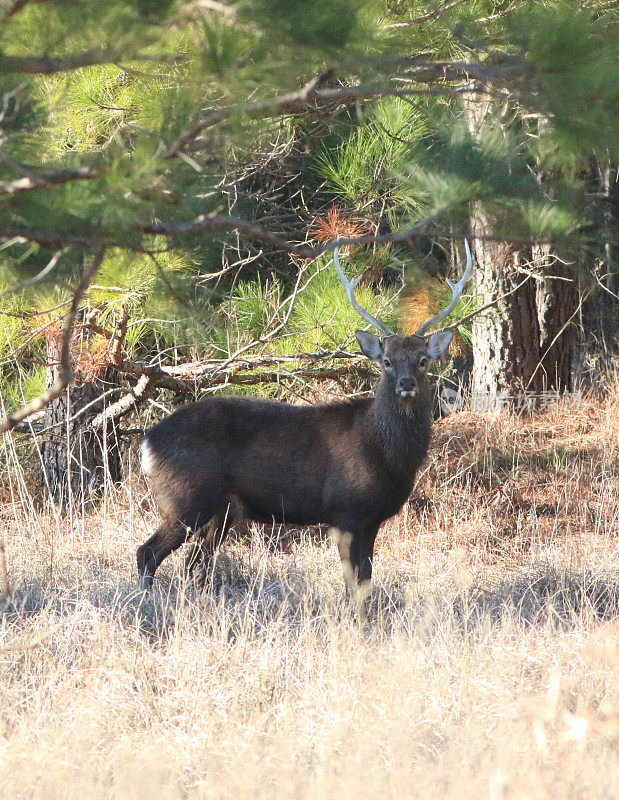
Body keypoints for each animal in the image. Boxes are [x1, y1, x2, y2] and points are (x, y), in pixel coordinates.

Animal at [137, 238, 474, 608]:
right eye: (386, 360)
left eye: (423, 359)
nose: (406, 383)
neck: (386, 455)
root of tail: (147, 443)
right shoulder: (344, 510)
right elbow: (353, 582)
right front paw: (352, 618)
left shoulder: (371, 518)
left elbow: (366, 579)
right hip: (184, 496)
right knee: (147, 552)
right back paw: (145, 603)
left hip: (222, 509)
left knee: (193, 563)